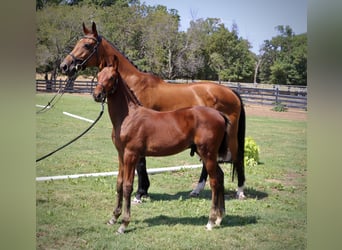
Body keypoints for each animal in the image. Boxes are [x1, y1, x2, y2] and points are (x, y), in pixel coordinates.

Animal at [58, 21, 246, 201]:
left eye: (87, 45)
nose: (65, 66)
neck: (133, 83)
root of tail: (231, 91)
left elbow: (141, 164)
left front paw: (140, 193)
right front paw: (143, 191)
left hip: (230, 138)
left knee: (237, 158)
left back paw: (240, 191)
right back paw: (196, 190)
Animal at [92, 57, 228, 233]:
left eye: (112, 77)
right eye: (98, 75)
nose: (97, 95)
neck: (129, 117)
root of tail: (219, 114)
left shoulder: (131, 155)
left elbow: (128, 186)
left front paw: (124, 223)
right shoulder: (121, 155)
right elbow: (119, 183)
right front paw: (114, 217)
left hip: (208, 154)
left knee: (214, 181)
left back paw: (210, 221)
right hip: (206, 154)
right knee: (220, 176)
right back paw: (219, 217)